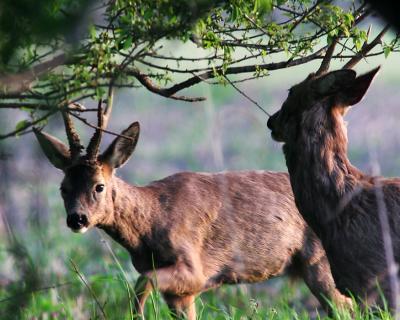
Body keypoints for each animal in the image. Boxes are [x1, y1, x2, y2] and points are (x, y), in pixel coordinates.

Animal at [34, 99, 352, 318]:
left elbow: (144, 281)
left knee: (347, 307)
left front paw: (132, 312)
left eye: (99, 186)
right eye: (63, 188)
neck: (151, 222)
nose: (77, 219)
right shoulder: (179, 292)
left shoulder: (194, 268)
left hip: (321, 260)